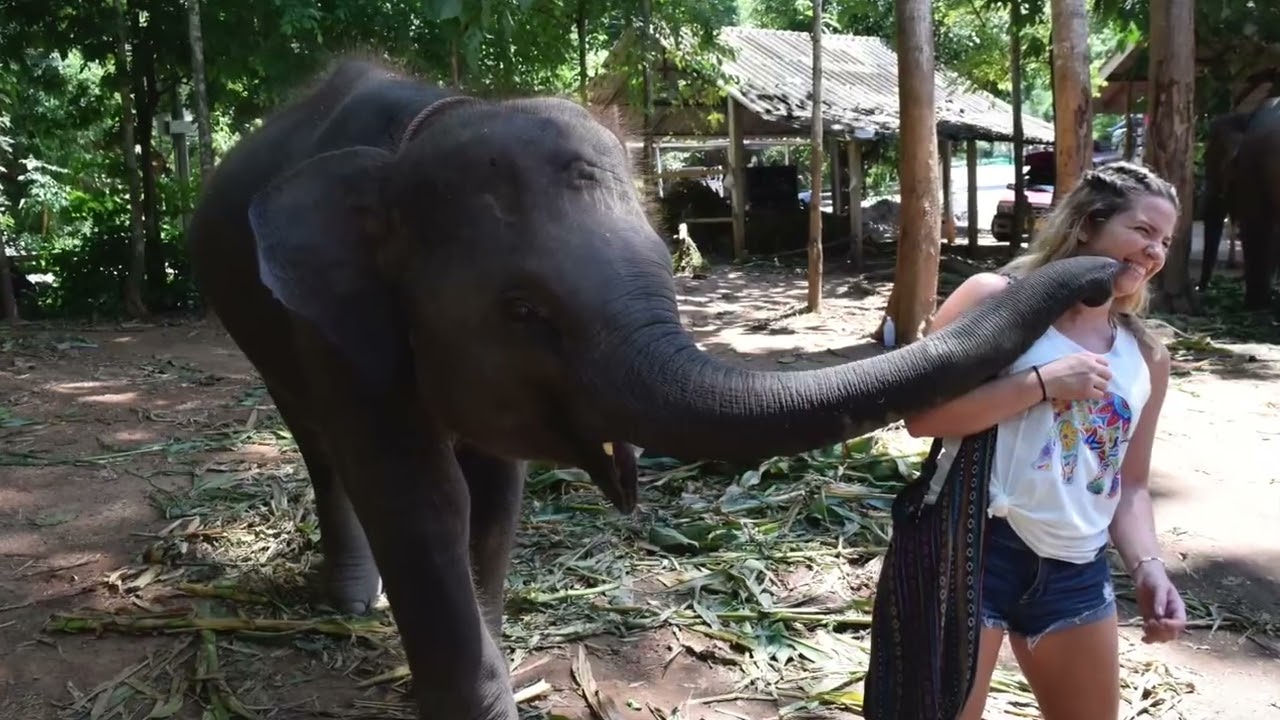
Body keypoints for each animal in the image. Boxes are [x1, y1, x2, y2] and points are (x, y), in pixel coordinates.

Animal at [184, 57, 1124, 720]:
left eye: (667, 271)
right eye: (523, 310)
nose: (1105, 275)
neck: (425, 127)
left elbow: (494, 497)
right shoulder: (333, 328)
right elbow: (420, 498)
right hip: (254, 319)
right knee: (314, 440)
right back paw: (351, 597)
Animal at [1198, 96, 1280, 308]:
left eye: (1208, 158)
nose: (1200, 290)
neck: (1246, 116)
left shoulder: (1251, 163)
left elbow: (1256, 227)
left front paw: (1255, 305)